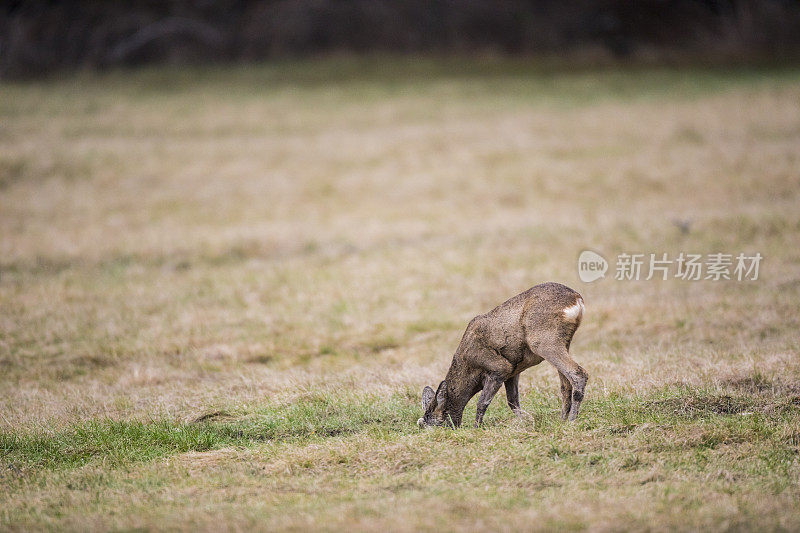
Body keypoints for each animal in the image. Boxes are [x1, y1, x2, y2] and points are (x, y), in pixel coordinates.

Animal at [418, 282, 588, 428]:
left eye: (434, 424)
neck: (469, 366)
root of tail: (577, 299)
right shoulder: (513, 371)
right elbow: (512, 402)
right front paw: (527, 421)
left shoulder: (499, 368)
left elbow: (482, 402)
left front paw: (476, 428)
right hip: (563, 342)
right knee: (565, 385)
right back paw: (562, 420)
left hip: (543, 340)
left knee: (579, 374)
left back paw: (572, 421)